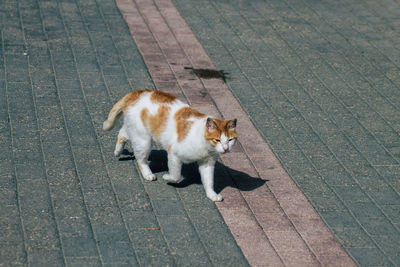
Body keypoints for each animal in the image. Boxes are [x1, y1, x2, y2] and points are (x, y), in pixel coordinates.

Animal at [103, 89, 238, 202]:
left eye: (230, 140)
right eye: (217, 140)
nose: (226, 148)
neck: (205, 146)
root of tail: (135, 93)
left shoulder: (207, 163)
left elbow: (208, 181)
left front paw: (211, 194)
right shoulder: (174, 154)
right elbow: (176, 175)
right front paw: (167, 177)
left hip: (135, 132)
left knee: (122, 133)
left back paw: (117, 151)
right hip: (143, 140)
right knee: (141, 160)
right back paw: (148, 174)